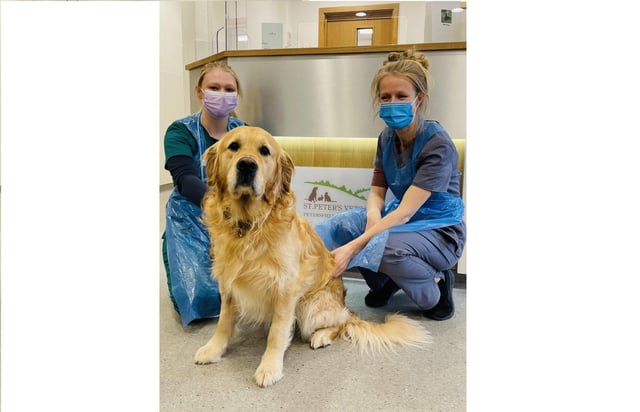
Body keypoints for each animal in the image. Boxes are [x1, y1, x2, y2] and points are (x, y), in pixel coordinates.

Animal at [192, 125, 428, 386]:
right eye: (233, 146)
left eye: (264, 151)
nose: (246, 165)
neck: (250, 224)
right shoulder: (228, 281)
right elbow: (223, 322)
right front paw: (213, 349)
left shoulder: (286, 287)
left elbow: (277, 333)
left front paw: (270, 367)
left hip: (310, 306)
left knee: (343, 321)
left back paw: (321, 336)